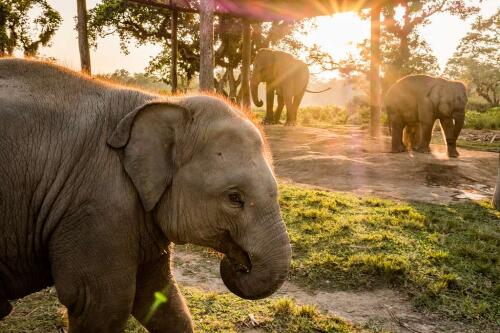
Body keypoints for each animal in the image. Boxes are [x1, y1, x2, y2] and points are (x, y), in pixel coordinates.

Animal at [0, 59, 292, 332]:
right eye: (234, 198)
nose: (238, 264)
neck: (162, 102)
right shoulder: (98, 208)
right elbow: (102, 304)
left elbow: (158, 295)